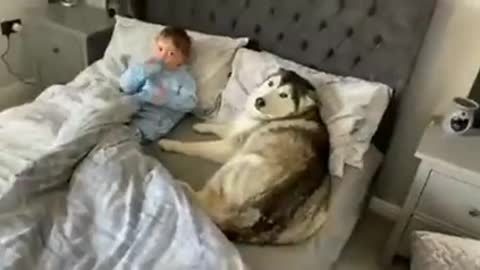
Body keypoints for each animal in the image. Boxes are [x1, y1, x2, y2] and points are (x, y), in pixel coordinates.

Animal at [158, 68, 330, 245]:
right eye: (271, 83)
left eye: (284, 95)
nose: (259, 101)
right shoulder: (237, 131)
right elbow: (223, 127)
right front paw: (202, 126)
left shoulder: (229, 148)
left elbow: (196, 147)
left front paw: (172, 144)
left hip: (240, 163)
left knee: (203, 202)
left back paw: (181, 186)